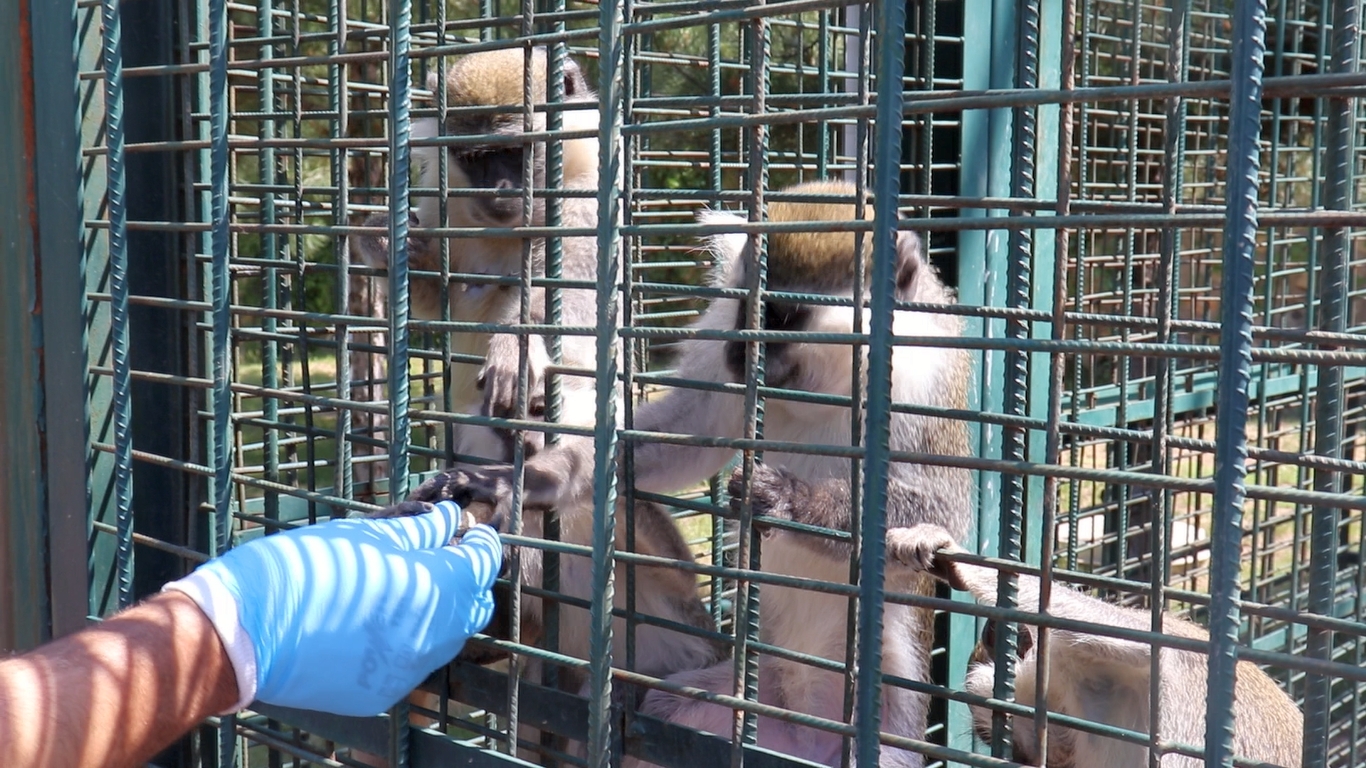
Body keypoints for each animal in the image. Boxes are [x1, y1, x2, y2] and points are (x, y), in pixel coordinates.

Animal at [346, 43, 721, 754]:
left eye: (517, 153)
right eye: (478, 158)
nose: (500, 191)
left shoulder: (585, 213)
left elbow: (571, 307)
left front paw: (514, 348)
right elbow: (437, 292)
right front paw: (383, 239)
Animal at [420, 179, 978, 765]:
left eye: (778, 316)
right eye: (742, 309)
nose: (738, 354)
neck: (830, 380)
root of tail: (808, 737)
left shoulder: (926, 381)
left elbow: (940, 506)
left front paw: (790, 499)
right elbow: (689, 427)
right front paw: (526, 479)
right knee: (665, 720)